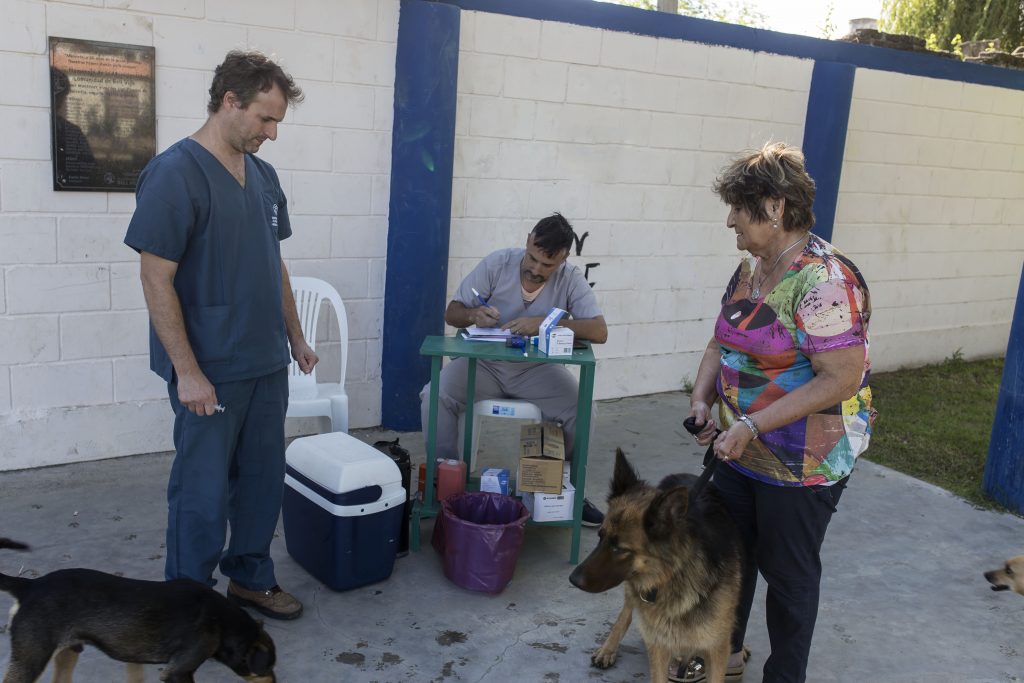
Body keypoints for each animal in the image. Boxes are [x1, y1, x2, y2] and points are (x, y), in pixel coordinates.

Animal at [0, 540, 276, 683]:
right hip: (32, 658)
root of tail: (31, 585)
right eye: (266, 668)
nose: (275, 681)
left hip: (67, 653)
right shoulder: (179, 671)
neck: (222, 620)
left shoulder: (135, 661)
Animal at [569, 450, 745, 679]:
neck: (675, 575)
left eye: (620, 549)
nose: (573, 579)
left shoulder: (716, 650)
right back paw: (608, 649)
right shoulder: (659, 645)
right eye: (601, 536)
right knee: (626, 612)